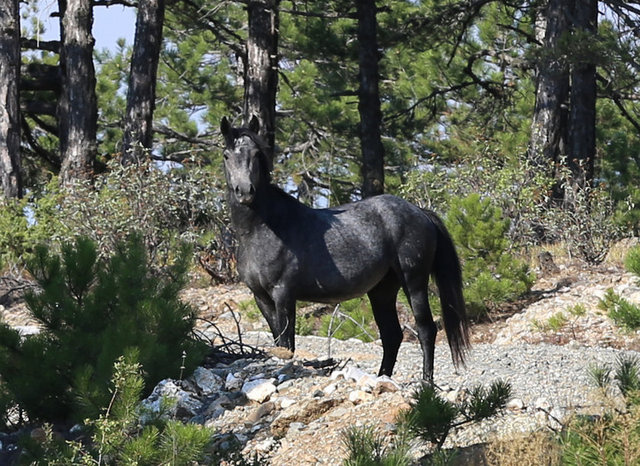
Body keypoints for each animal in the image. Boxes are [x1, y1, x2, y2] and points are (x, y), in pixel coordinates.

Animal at [220, 116, 470, 382]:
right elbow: (279, 341)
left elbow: (287, 343)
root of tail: (420, 212)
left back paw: (426, 382)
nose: (245, 191)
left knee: (425, 330)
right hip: (382, 291)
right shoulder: (262, 298)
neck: (265, 228)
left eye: (257, 154)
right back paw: (382, 377)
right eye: (226, 155)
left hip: (414, 283)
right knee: (392, 336)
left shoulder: (283, 294)